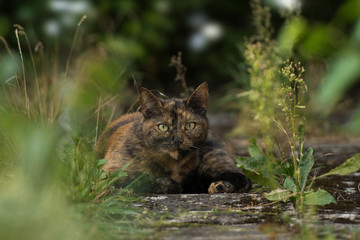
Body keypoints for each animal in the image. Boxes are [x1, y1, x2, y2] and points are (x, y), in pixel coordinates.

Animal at [97, 83, 252, 194]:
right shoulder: (109, 173)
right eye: (163, 127)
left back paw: (221, 185)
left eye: (190, 125)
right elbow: (138, 178)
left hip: (213, 154)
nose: (178, 140)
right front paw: (171, 185)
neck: (171, 163)